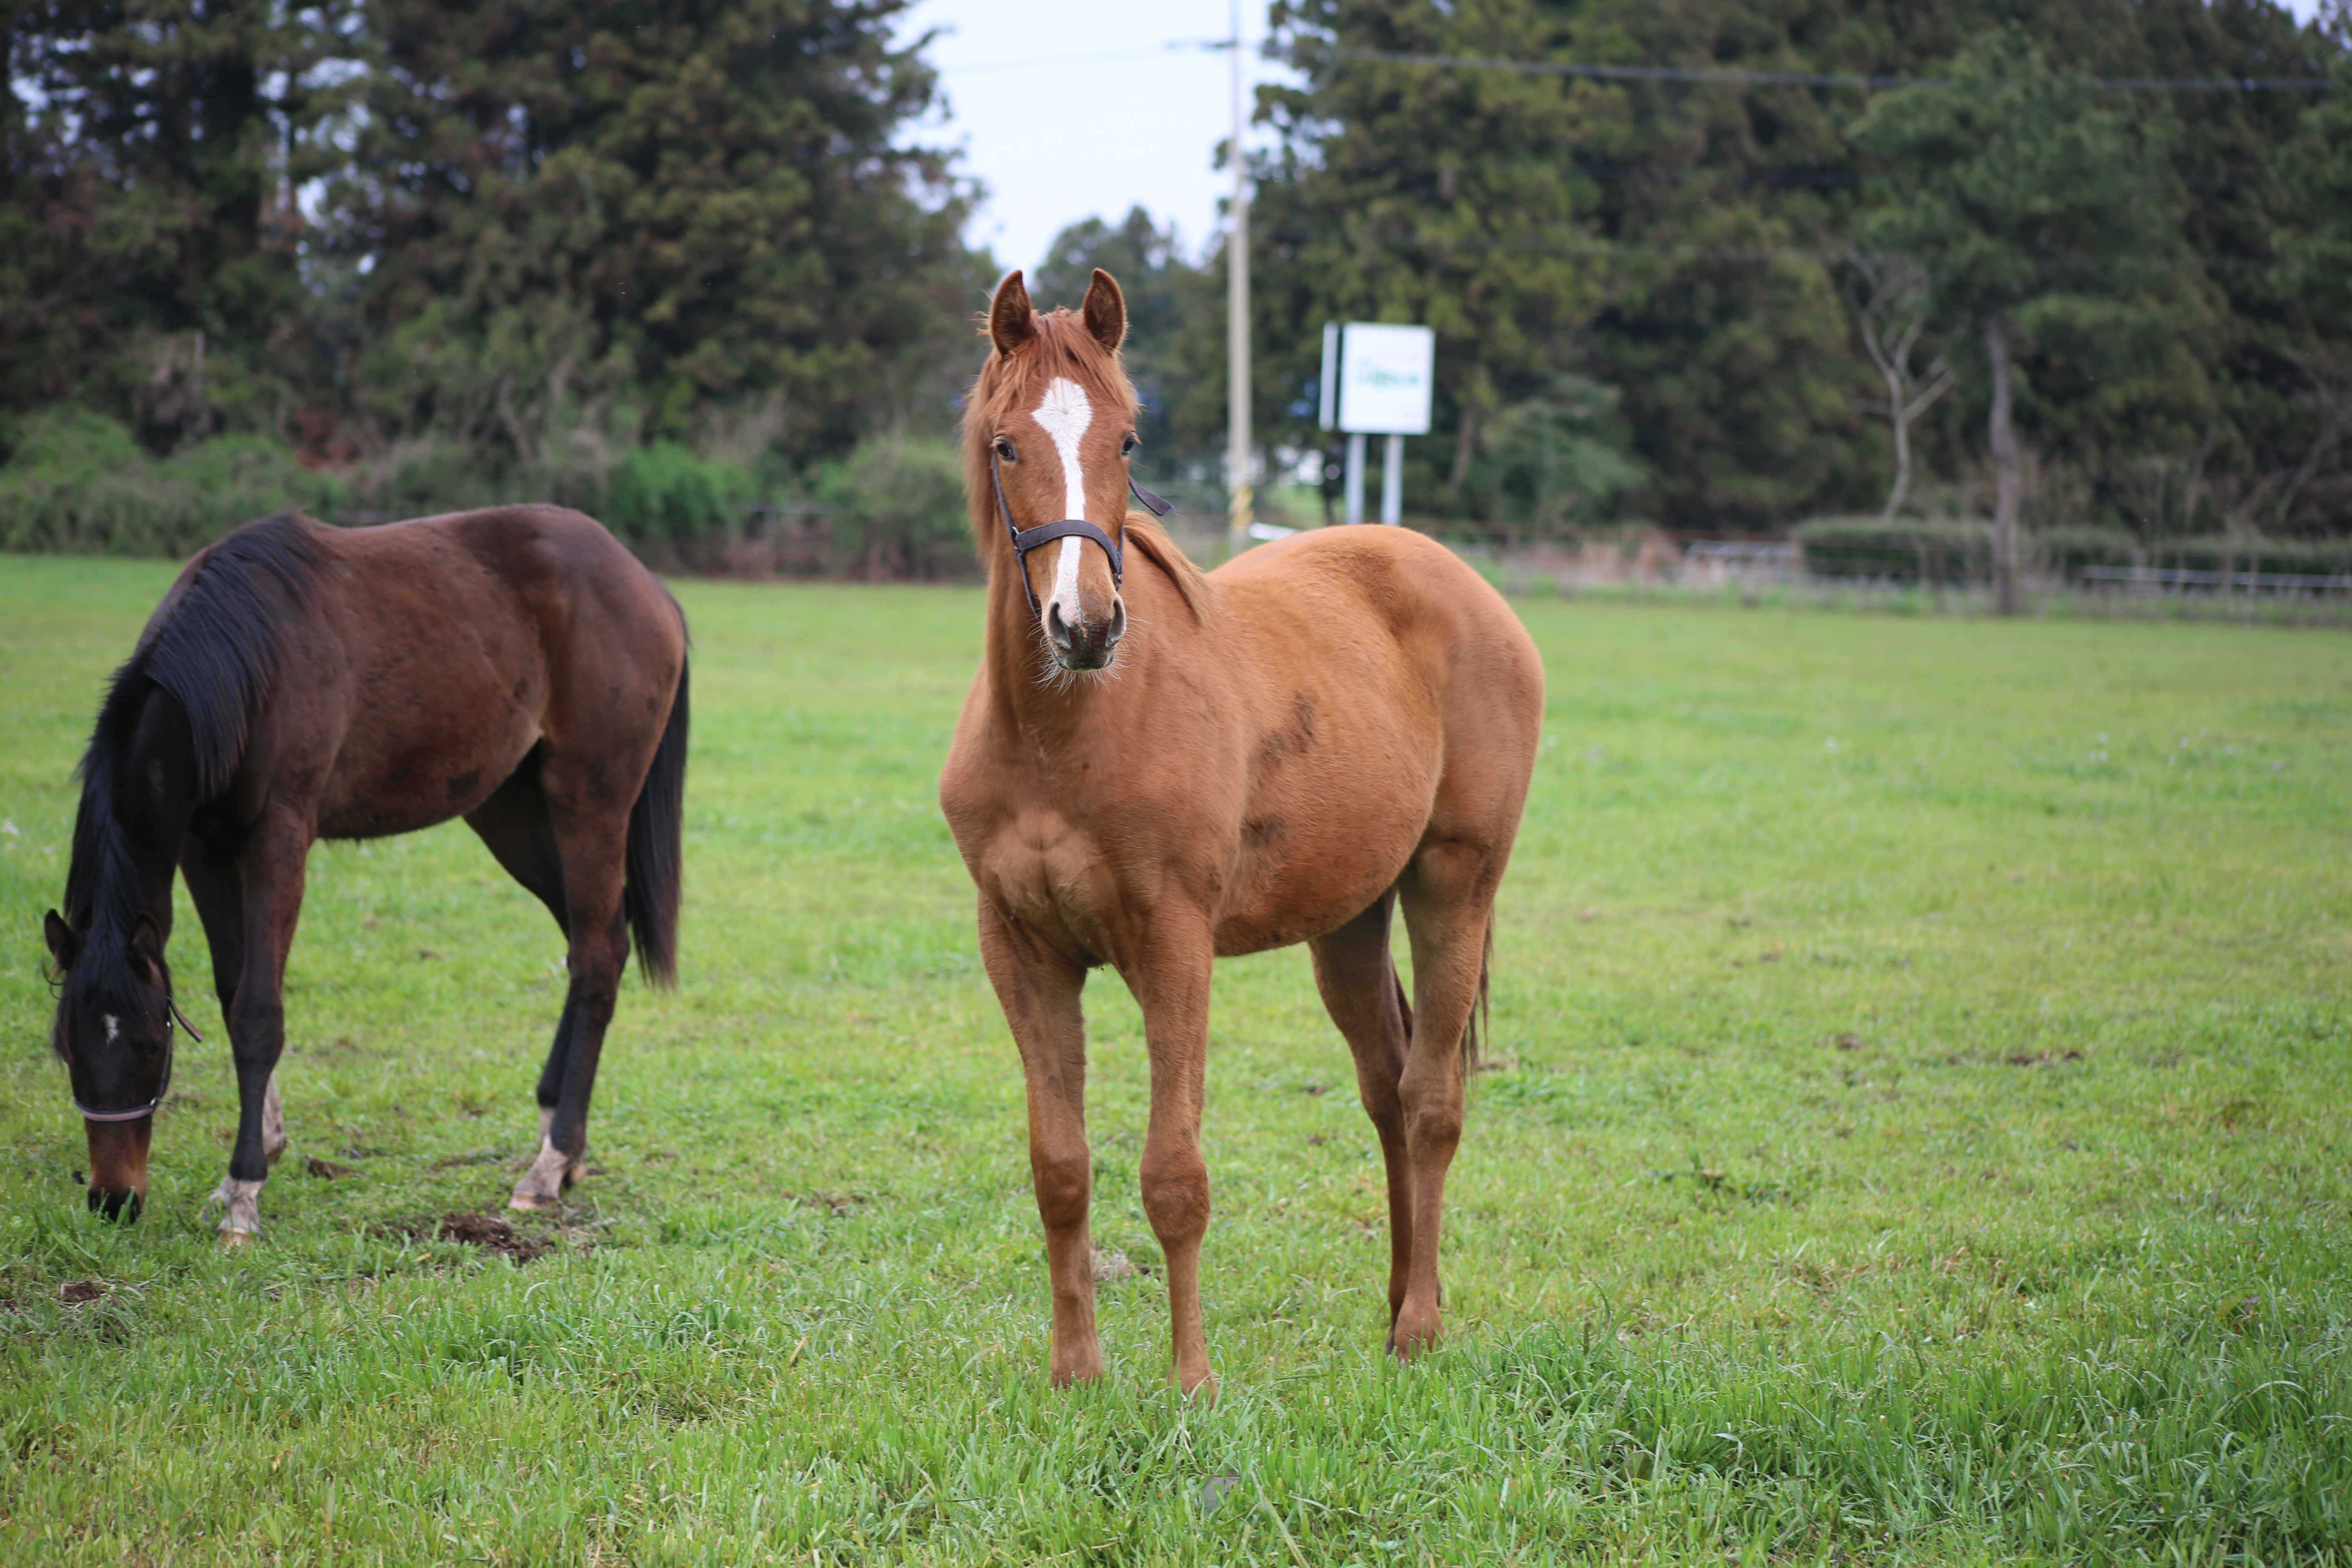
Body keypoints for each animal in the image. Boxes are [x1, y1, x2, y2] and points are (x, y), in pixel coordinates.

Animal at [43, 510, 686, 1241]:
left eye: (153, 1047)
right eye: (69, 1048)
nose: (113, 1199)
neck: (239, 662)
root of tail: (644, 583)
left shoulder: (279, 839)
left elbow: (258, 1011)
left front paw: (244, 1191)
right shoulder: (203, 849)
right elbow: (233, 993)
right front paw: (256, 1156)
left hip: (589, 802)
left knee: (599, 958)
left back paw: (551, 1163)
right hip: (510, 812)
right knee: (589, 943)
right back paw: (560, 1133)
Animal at [936, 272, 1543, 1401]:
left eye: (1127, 440)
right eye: (1006, 445)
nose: (1086, 626)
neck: (1065, 735)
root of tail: (1458, 580)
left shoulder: (1173, 948)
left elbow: (1173, 1175)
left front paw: (1192, 1384)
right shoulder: (1023, 952)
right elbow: (1060, 1169)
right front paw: (1075, 1374)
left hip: (1454, 885)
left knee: (1431, 1100)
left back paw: (1419, 1327)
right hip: (1348, 919)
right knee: (1385, 1091)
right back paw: (1397, 1296)